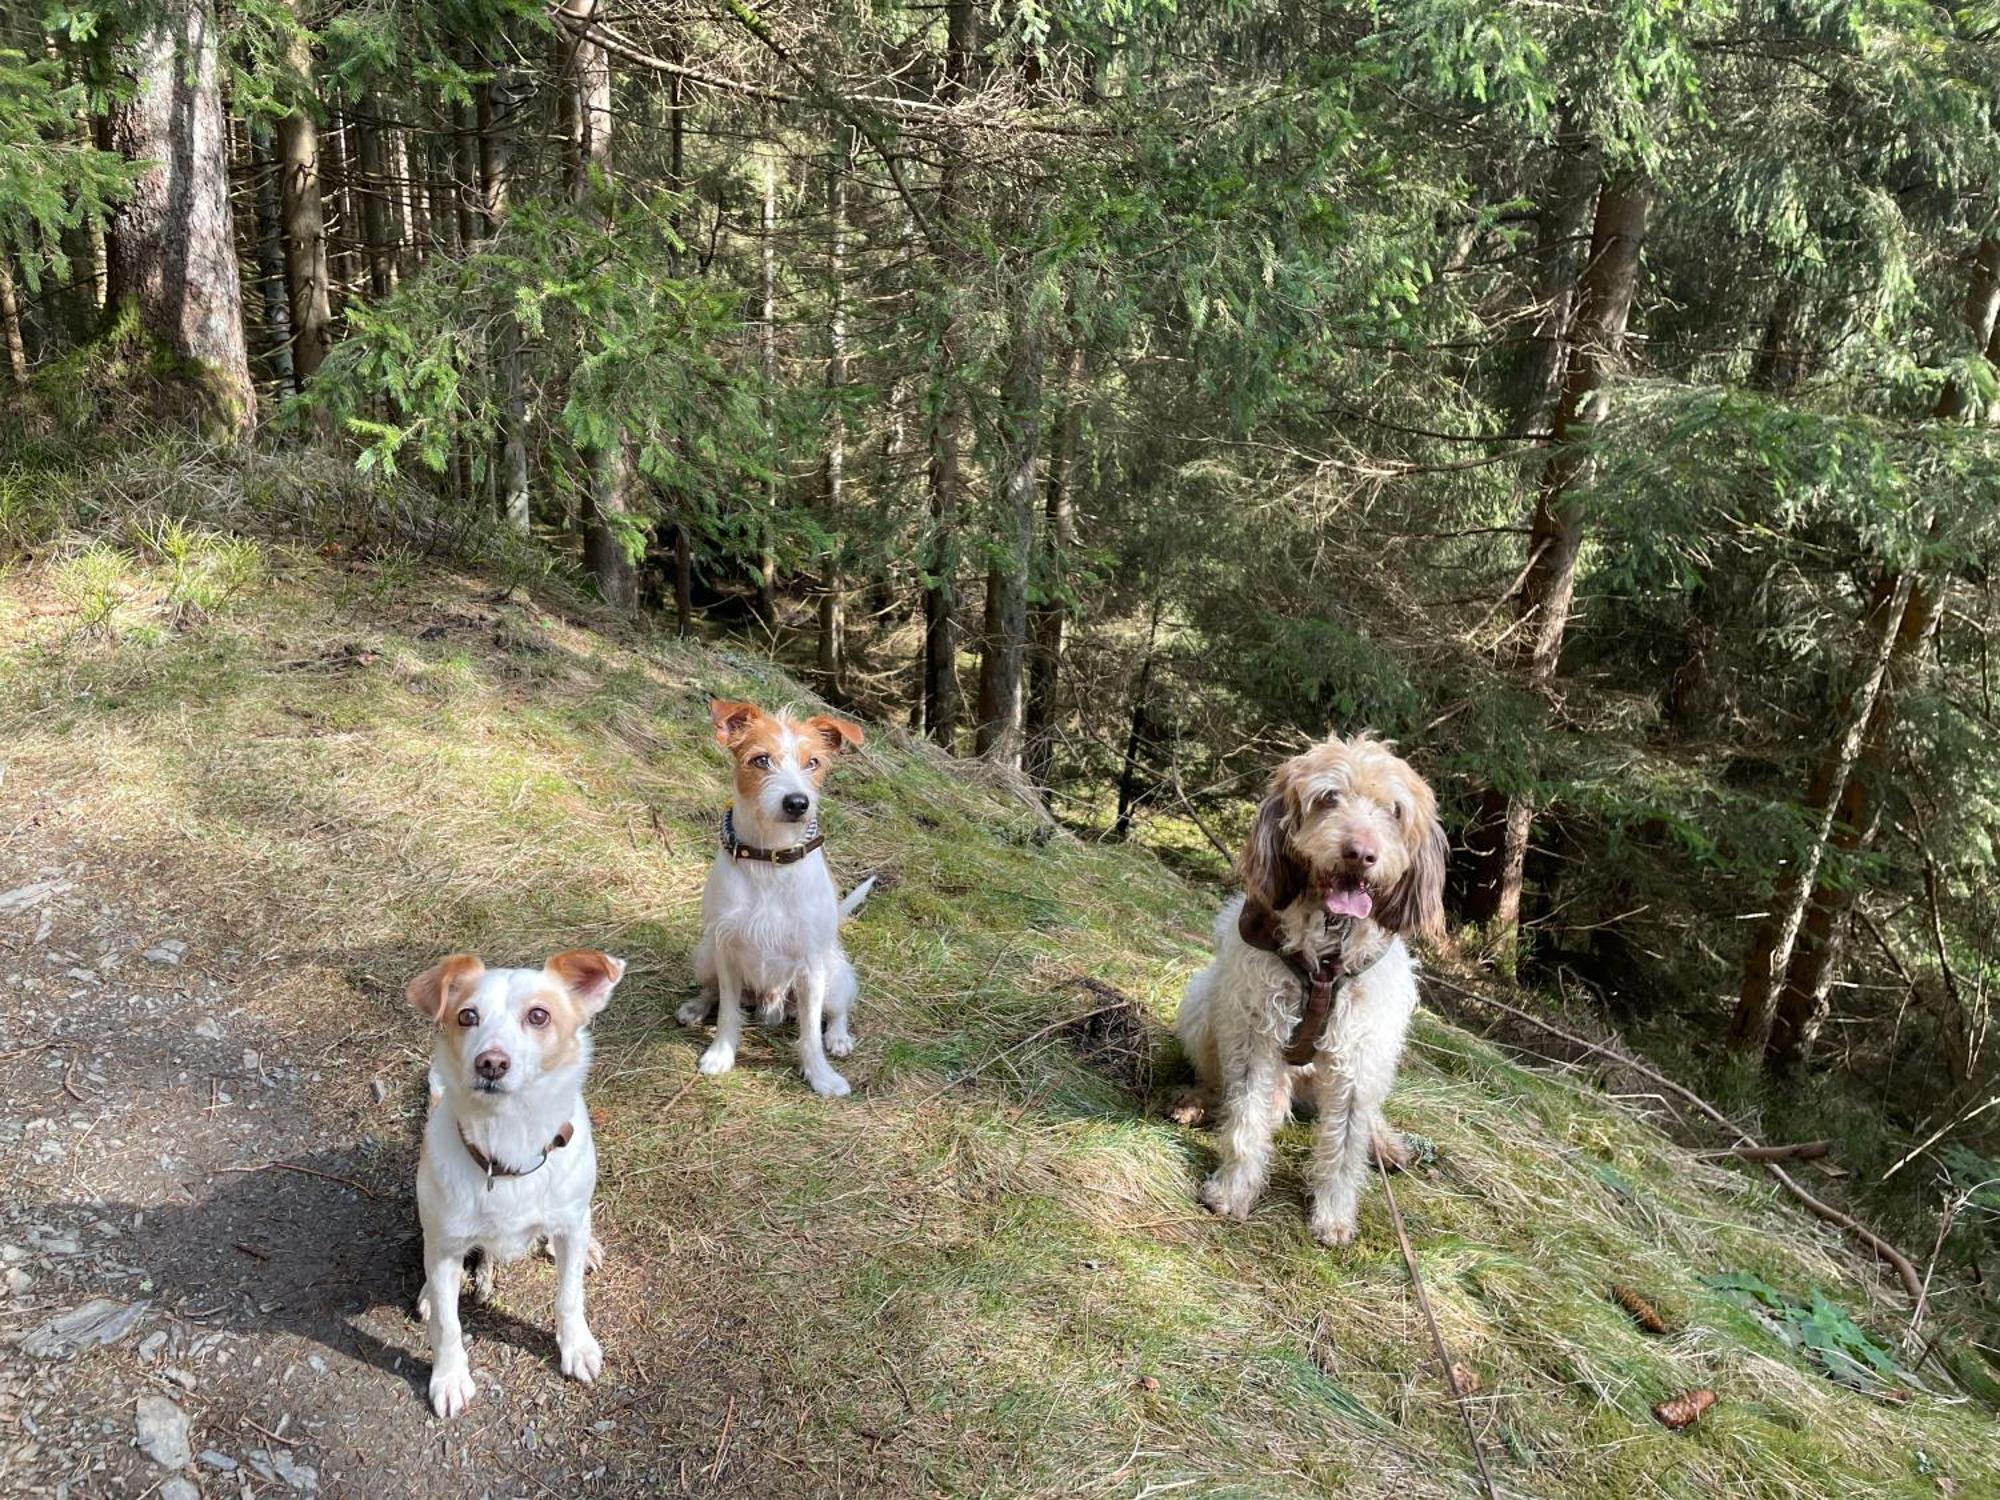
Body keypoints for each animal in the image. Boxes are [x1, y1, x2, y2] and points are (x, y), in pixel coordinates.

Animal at [408, 952, 620, 1424]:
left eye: (538, 1015)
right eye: (467, 1016)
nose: (491, 1063)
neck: (508, 1145)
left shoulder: (569, 1226)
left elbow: (569, 1297)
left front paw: (576, 1346)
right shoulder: (445, 1245)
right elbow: (448, 1325)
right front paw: (449, 1378)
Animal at [1176, 736, 1448, 1248]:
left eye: (1394, 810)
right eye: (1328, 798)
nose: (1360, 853)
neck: (1326, 950)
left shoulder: (1360, 1053)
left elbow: (1345, 1144)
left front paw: (1334, 1213)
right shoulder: (1255, 1031)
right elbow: (1245, 1117)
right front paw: (1233, 1189)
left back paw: (1384, 1142)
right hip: (1202, 1002)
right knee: (1223, 1082)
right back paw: (1199, 1101)